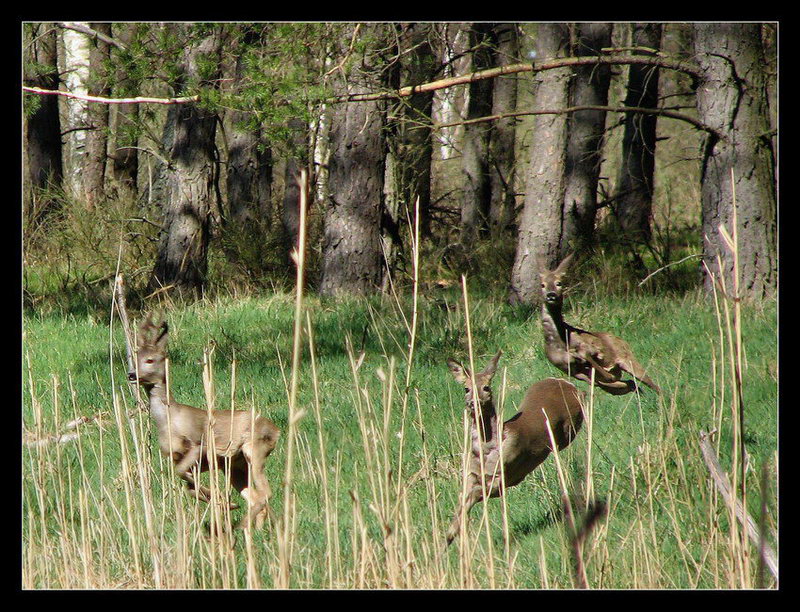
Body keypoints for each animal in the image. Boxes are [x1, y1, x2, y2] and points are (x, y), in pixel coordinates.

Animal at [129, 314, 282, 528]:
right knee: (255, 496)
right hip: (235, 466)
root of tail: (276, 430)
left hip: (254, 448)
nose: (132, 375)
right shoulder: (183, 458)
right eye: (133, 360)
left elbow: (180, 472)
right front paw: (223, 501)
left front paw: (223, 501)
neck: (169, 419)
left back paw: (241, 525)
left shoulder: (200, 445)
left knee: (265, 493)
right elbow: (187, 486)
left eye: (150, 360)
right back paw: (255, 528)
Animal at [446, 352, 584, 548]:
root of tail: (566, 383)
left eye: (486, 387)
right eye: (466, 388)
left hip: (569, 428)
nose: (473, 403)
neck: (486, 450)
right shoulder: (471, 474)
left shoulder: (505, 474)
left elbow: (472, 498)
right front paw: (447, 543)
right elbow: (459, 509)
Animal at [536, 253, 664, 396]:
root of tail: (621, 340)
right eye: (542, 285)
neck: (560, 342)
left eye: (559, 283)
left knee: (649, 383)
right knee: (630, 383)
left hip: (627, 357)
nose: (551, 295)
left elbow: (588, 354)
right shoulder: (572, 371)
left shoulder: (591, 350)